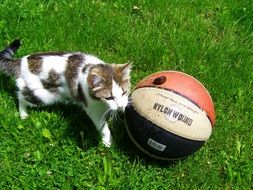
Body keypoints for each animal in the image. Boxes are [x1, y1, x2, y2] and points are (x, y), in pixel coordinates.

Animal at [0, 39, 132, 147]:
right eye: (109, 97)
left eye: (124, 92)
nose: (121, 106)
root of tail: (20, 61)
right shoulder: (92, 109)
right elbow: (103, 127)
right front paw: (107, 142)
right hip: (43, 95)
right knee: (21, 96)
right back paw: (23, 114)